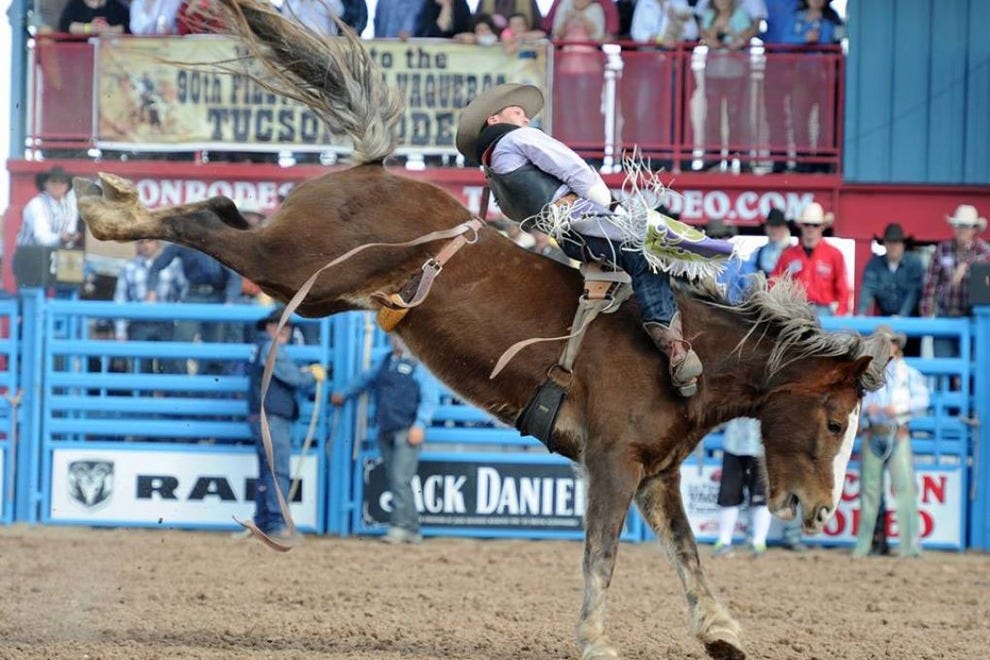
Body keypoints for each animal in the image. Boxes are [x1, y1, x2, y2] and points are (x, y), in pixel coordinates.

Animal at [71, 2, 892, 656]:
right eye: (834, 421)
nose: (817, 511)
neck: (697, 355)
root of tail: (371, 168)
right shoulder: (613, 461)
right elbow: (600, 554)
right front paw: (596, 641)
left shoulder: (656, 476)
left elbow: (687, 555)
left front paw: (721, 633)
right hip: (292, 267)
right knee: (206, 222)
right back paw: (107, 211)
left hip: (310, 287)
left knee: (219, 209)